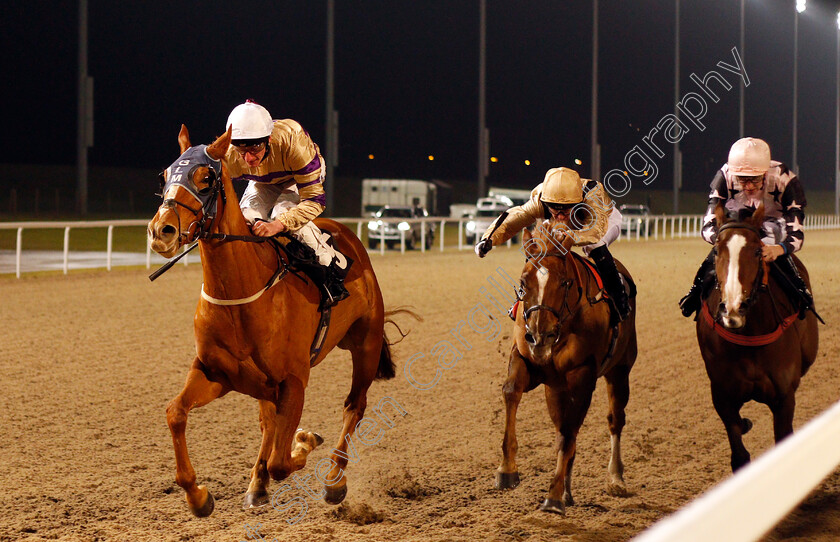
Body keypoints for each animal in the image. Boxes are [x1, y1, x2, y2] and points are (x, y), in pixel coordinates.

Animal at [148, 126, 398, 520]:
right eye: (164, 176)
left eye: (206, 178)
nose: (162, 230)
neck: (243, 291)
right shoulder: (214, 373)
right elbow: (175, 412)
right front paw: (198, 496)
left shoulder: (293, 381)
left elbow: (283, 460)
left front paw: (305, 440)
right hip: (263, 383)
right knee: (268, 422)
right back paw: (258, 485)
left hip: (366, 345)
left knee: (353, 407)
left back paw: (334, 480)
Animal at [492, 226, 636, 520]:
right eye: (523, 282)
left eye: (564, 282)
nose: (540, 335)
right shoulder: (526, 360)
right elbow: (511, 392)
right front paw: (507, 470)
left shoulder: (583, 377)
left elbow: (570, 432)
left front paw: (554, 496)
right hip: (555, 389)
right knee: (562, 430)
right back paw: (569, 490)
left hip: (619, 371)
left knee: (614, 420)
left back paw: (615, 478)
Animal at [696, 204, 820, 472]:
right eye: (717, 250)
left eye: (756, 251)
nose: (733, 308)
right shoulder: (722, 394)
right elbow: (739, 455)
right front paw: (744, 426)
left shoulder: (784, 398)